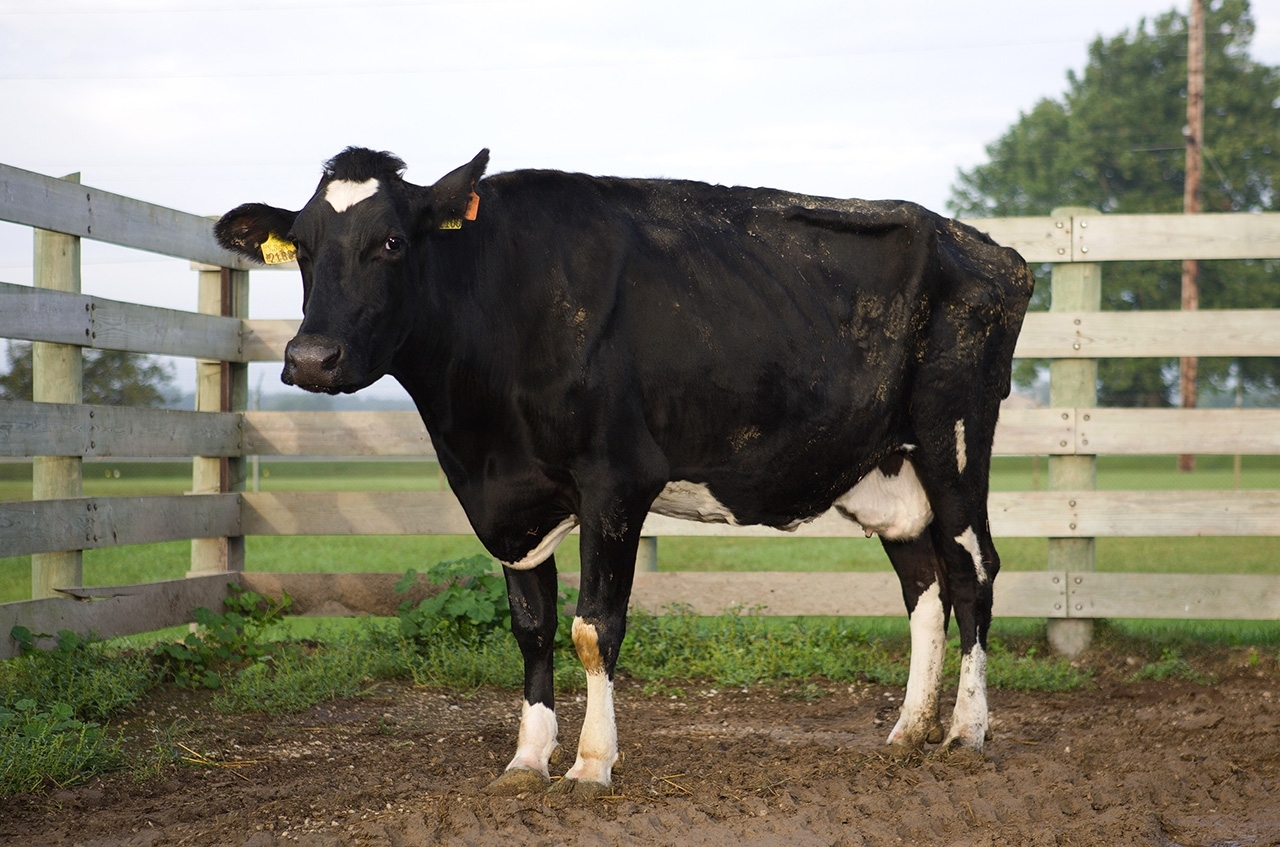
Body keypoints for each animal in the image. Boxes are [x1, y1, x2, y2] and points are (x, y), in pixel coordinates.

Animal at [215, 144, 1034, 798]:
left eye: (390, 241)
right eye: (306, 246)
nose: (310, 358)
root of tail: (991, 250)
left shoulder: (615, 481)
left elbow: (593, 627)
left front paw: (590, 764)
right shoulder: (512, 501)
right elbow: (532, 627)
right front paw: (527, 759)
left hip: (955, 436)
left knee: (973, 572)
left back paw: (966, 731)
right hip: (888, 467)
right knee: (923, 584)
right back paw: (907, 731)